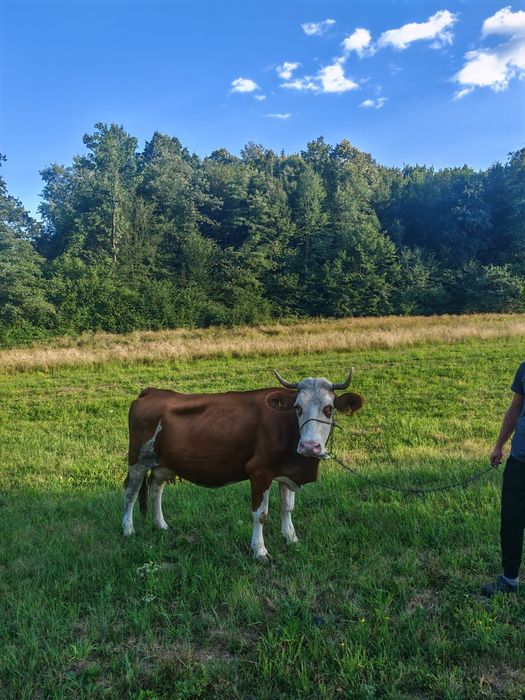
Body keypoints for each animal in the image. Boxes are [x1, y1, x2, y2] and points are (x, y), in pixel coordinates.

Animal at [122, 369, 364, 562]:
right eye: (297, 407)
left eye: (329, 408)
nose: (309, 446)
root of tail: (153, 391)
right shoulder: (259, 472)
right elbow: (261, 514)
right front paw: (260, 551)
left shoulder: (287, 472)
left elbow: (287, 507)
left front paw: (291, 538)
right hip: (137, 460)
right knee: (131, 491)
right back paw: (128, 529)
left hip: (162, 463)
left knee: (155, 488)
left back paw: (160, 525)